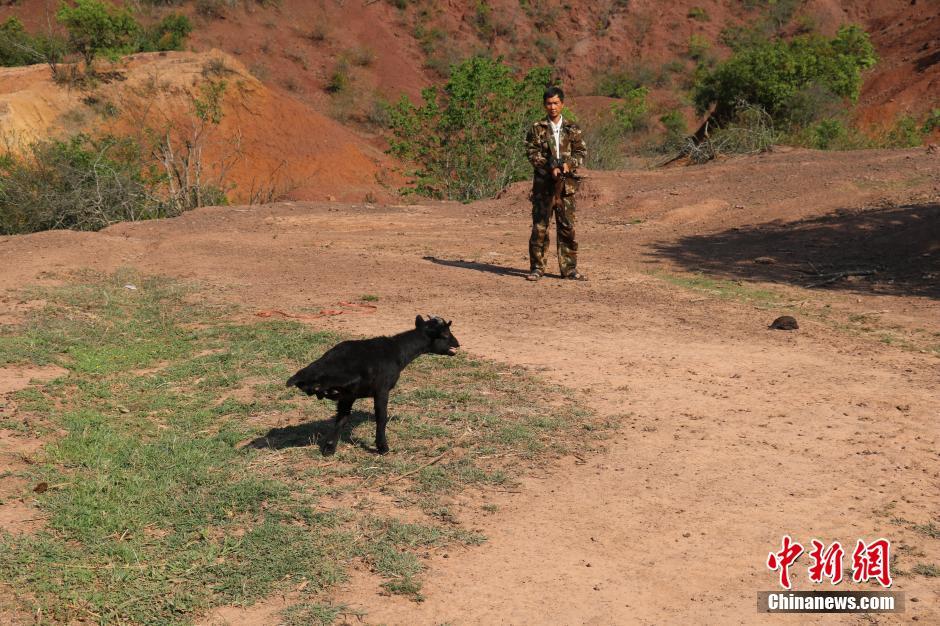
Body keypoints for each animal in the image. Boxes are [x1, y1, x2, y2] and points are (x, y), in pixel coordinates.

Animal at [288, 312, 460, 454]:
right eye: (445, 334)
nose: (457, 344)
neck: (398, 350)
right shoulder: (382, 390)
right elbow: (381, 417)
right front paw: (383, 447)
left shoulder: (349, 398)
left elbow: (342, 418)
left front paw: (329, 448)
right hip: (343, 377)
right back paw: (320, 389)